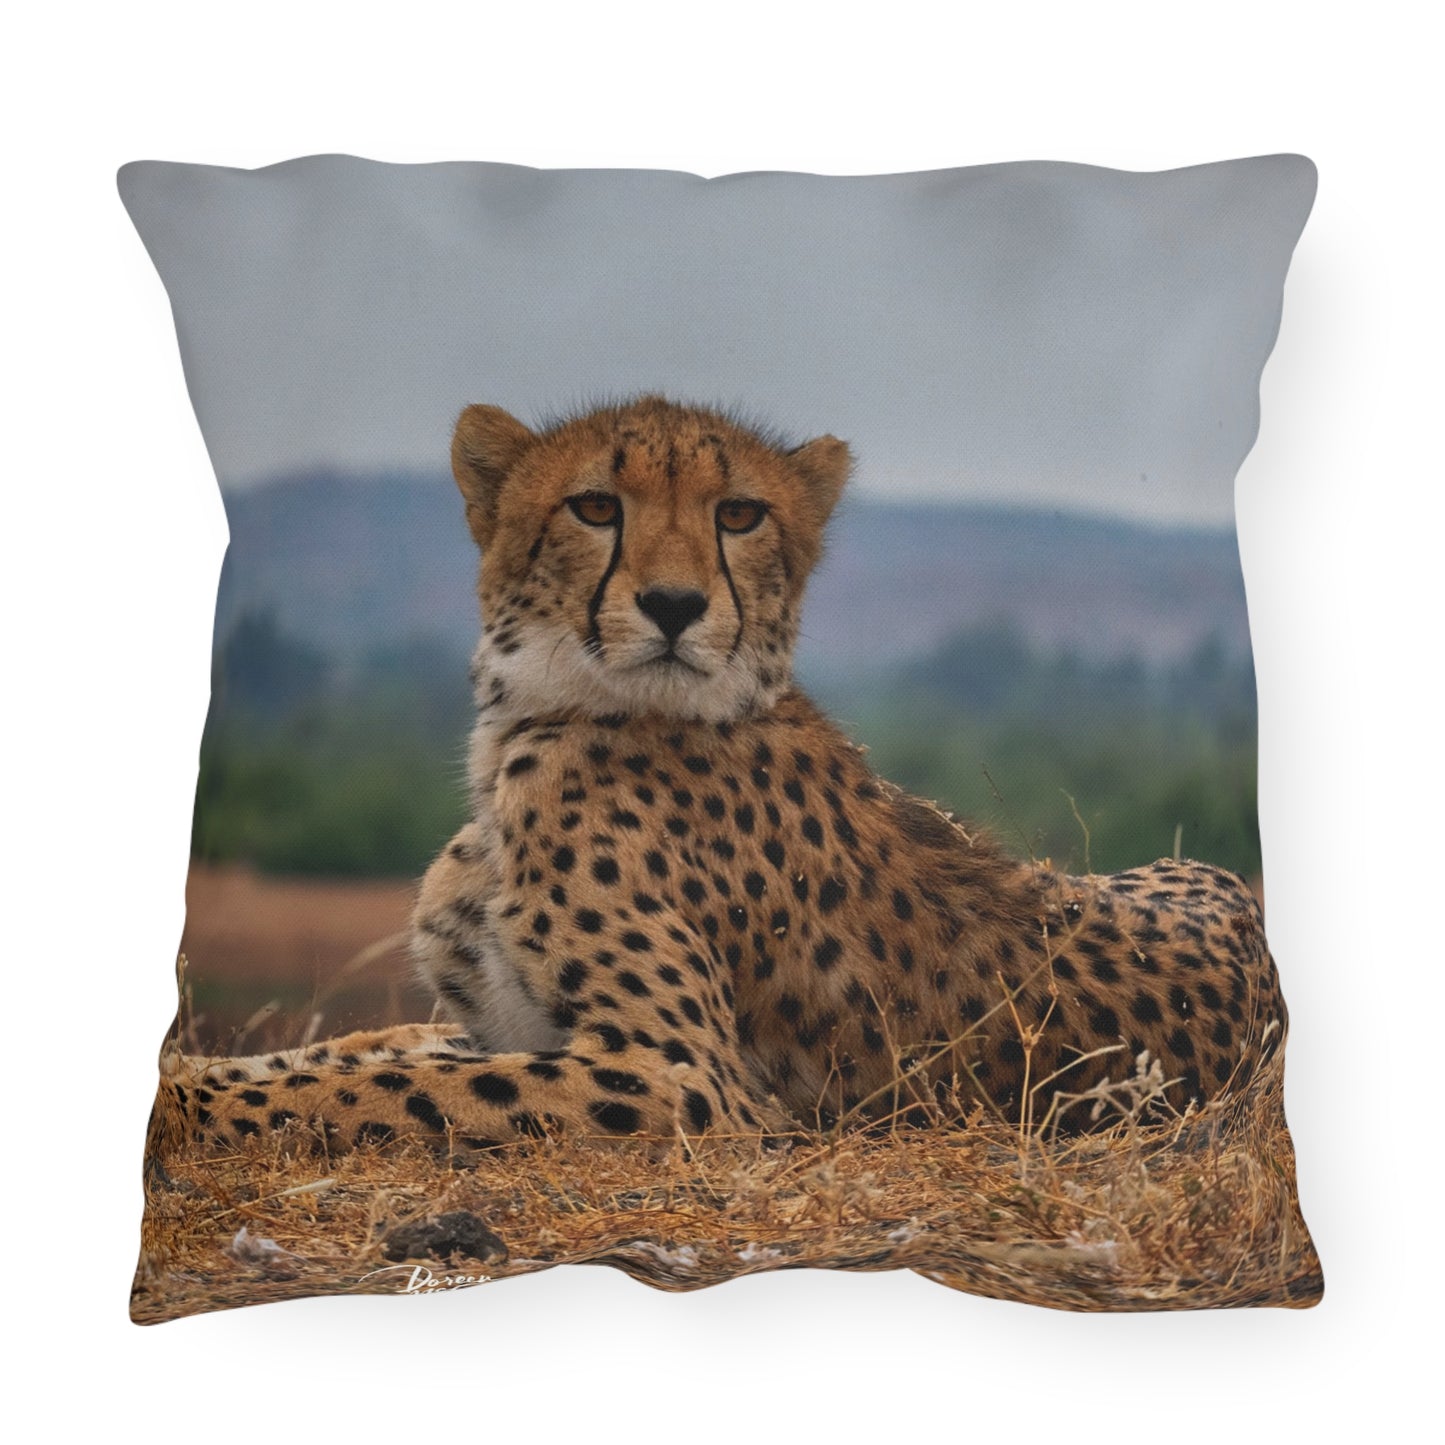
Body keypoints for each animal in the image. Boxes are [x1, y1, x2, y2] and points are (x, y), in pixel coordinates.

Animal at [157, 395, 1286, 1155]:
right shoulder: (499, 1026)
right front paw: (190, 1070)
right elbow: (356, 1052)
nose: (672, 603)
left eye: (738, 515)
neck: (537, 721)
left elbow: (373, 1086)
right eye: (594, 505)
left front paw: (191, 1103)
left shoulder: (687, 1077)